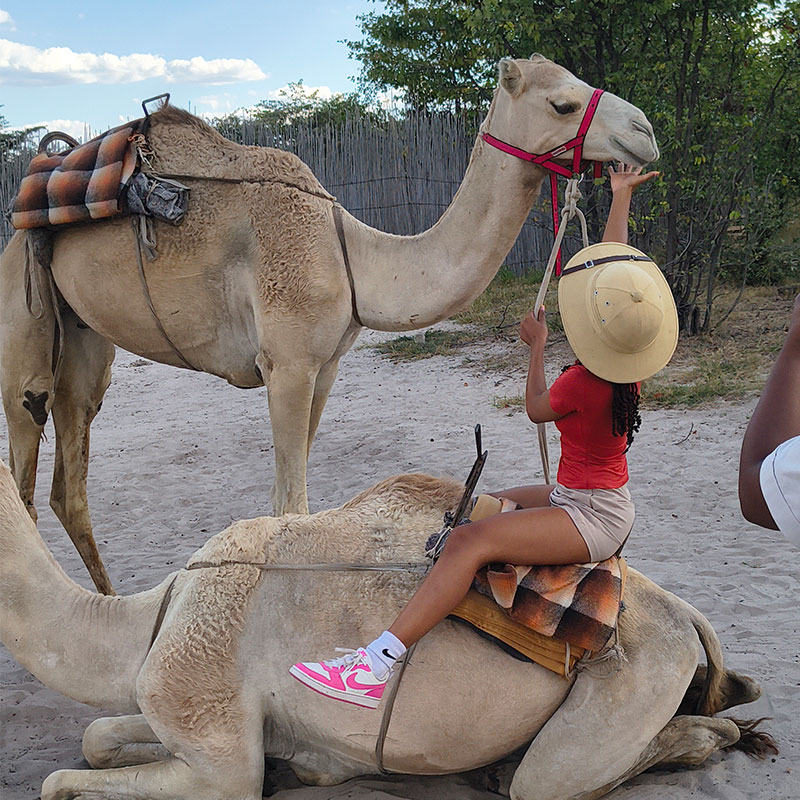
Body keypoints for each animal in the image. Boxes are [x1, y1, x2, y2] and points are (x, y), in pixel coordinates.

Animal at [0, 56, 660, 594]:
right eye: (563, 104)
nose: (645, 132)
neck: (352, 258)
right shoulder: (287, 364)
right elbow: (291, 506)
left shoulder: (326, 366)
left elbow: (290, 505)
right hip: (24, 328)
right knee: (25, 472)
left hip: (85, 339)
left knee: (68, 479)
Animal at [0, 460, 773, 800]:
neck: (153, 618)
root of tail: (683, 617)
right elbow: (97, 737)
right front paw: (301, 766)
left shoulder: (213, 743)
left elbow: (61, 780)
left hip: (631, 679)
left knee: (563, 775)